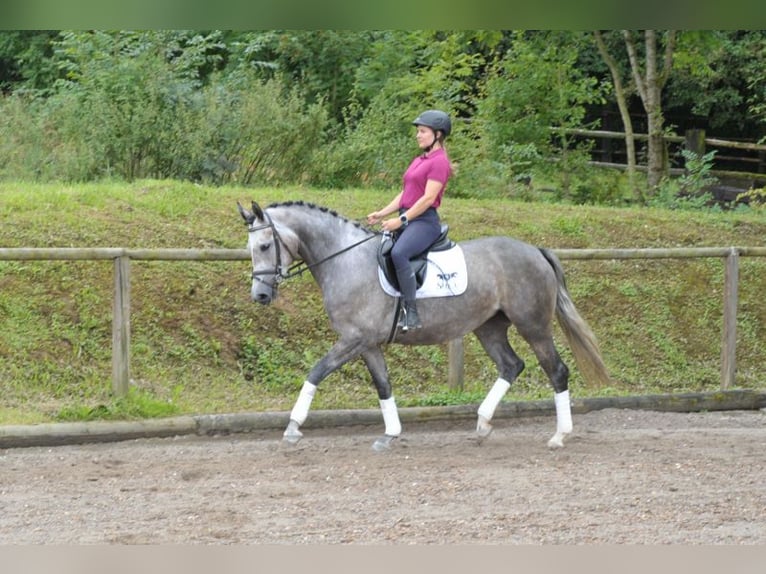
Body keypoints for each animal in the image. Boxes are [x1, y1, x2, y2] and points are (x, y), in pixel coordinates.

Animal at [240, 200, 612, 452]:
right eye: (250, 248)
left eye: (264, 245)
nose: (260, 295)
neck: (345, 260)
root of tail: (534, 250)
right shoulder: (367, 343)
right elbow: (384, 385)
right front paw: (390, 434)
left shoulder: (353, 339)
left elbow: (316, 372)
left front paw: (292, 427)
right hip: (489, 327)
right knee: (511, 365)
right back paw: (482, 424)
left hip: (533, 325)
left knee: (556, 370)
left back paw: (559, 436)